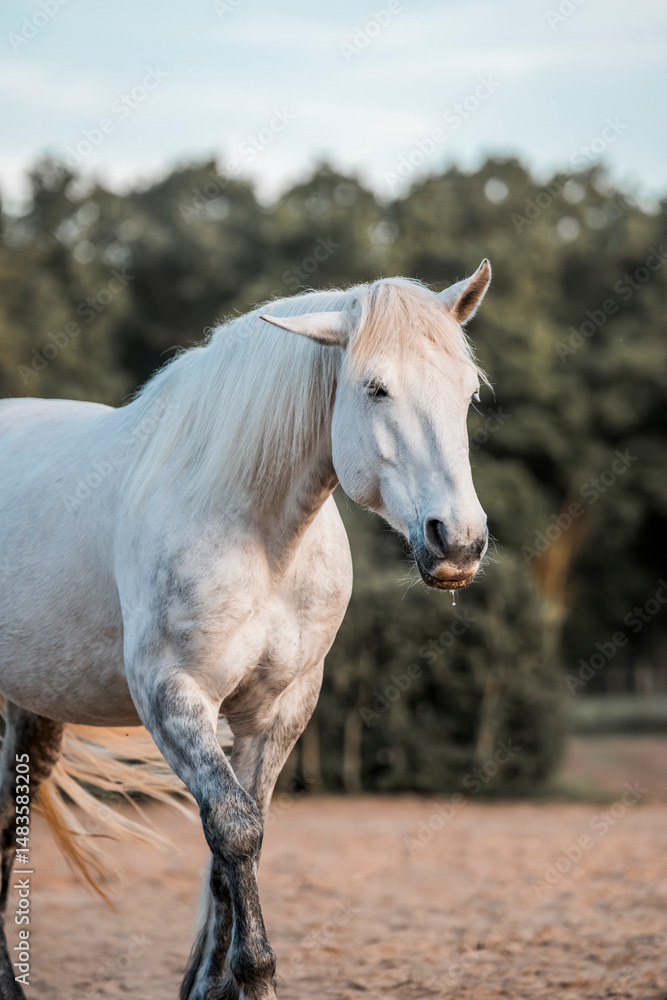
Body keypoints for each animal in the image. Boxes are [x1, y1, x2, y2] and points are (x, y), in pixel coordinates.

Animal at [0, 260, 491, 999]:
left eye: (467, 392)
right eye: (375, 388)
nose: (456, 542)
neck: (260, 536)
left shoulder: (278, 711)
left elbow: (234, 843)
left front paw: (210, 985)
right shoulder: (174, 699)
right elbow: (233, 831)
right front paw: (254, 975)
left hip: (31, 711)